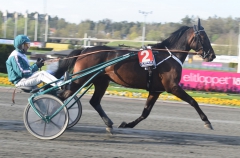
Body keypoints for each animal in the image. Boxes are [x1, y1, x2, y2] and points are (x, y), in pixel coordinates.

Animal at [54, 18, 216, 133]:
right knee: (63, 95)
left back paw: (108, 123)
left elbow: (145, 113)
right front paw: (207, 121)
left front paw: (127, 124)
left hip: (101, 81)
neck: (169, 55)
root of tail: (84, 50)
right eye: (203, 36)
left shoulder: (155, 90)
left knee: (93, 101)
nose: (212, 55)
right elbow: (193, 101)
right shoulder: (172, 87)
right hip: (82, 79)